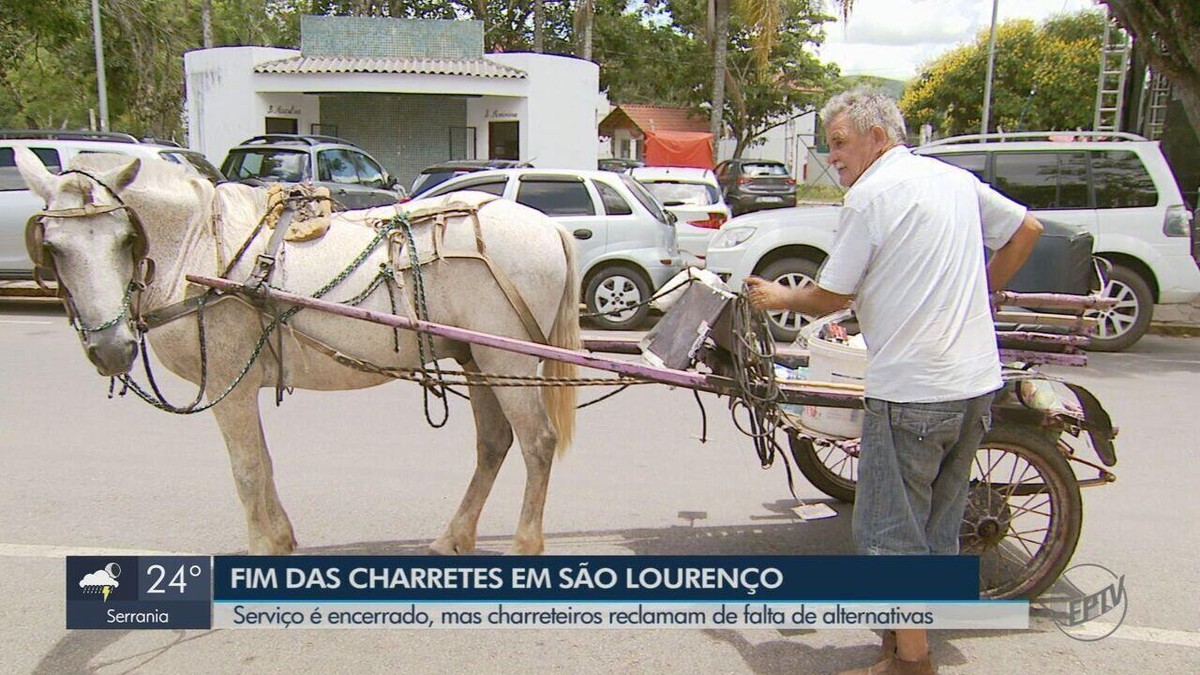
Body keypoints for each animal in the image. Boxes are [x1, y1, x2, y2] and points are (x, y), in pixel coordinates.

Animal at [17, 147, 580, 552]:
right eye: (54, 247)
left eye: (124, 239)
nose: (111, 348)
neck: (197, 245)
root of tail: (549, 226)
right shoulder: (241, 386)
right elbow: (263, 463)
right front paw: (281, 540)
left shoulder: (228, 385)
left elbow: (246, 471)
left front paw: (261, 550)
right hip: (476, 358)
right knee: (493, 444)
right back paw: (453, 537)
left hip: (506, 359)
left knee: (536, 443)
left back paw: (525, 545)